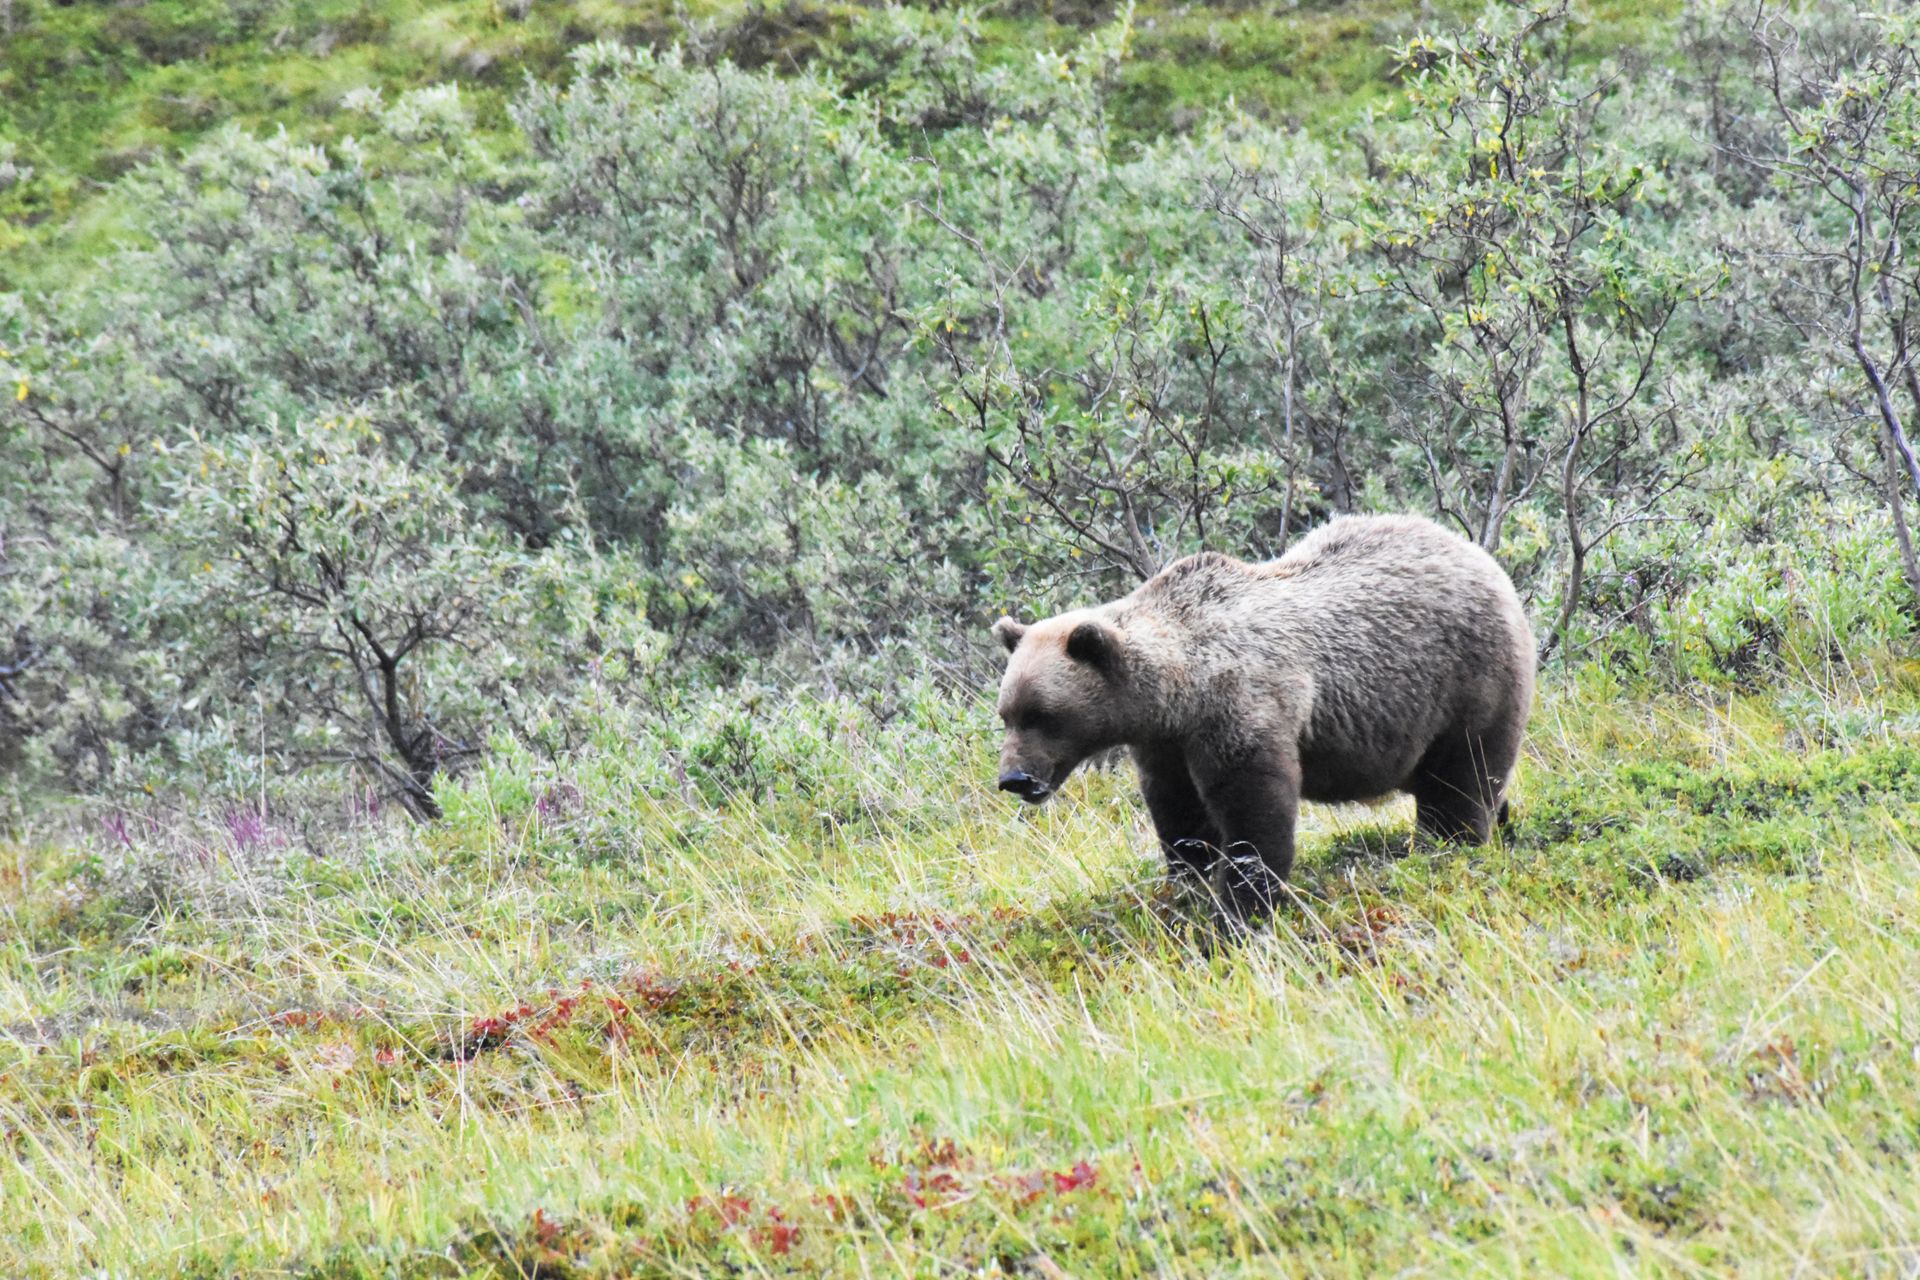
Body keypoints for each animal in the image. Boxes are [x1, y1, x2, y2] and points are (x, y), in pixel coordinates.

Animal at [990, 513, 1535, 919]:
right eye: (1007, 714)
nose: (1015, 778)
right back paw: (1501, 819)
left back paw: (1451, 843)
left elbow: (1253, 807)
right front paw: (1187, 876)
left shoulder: (1240, 704)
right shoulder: (1165, 744)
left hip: (1468, 678)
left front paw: (1243, 901)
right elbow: (1179, 810)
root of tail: (1480, 556)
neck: (1178, 690)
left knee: (1463, 774)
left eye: (1045, 714)